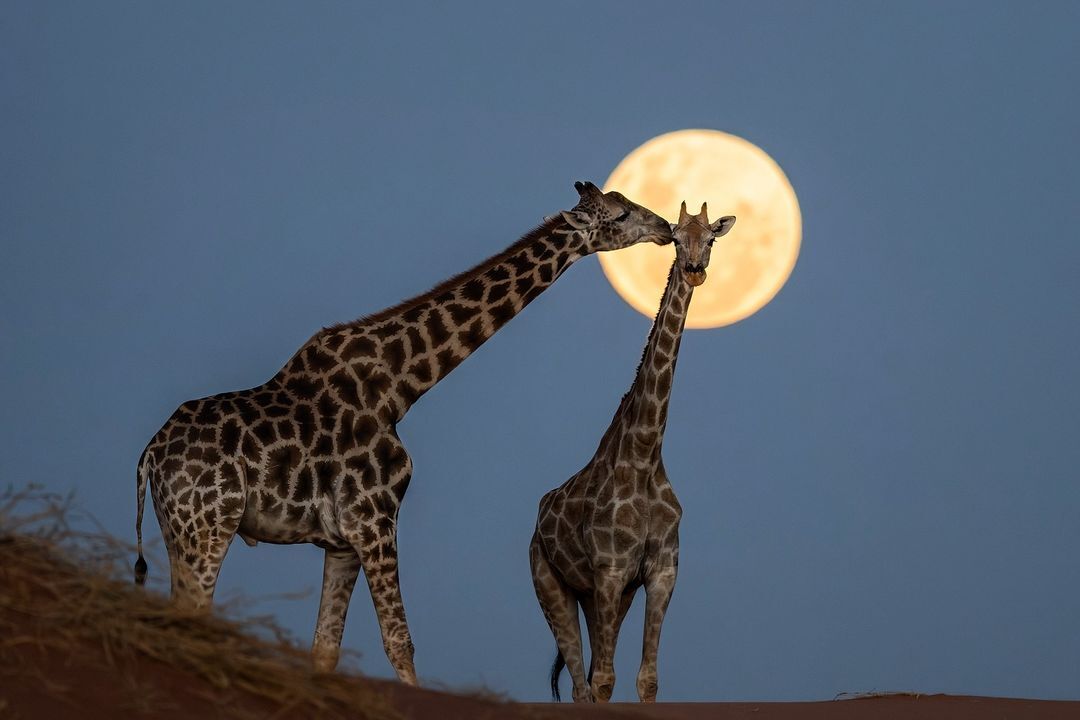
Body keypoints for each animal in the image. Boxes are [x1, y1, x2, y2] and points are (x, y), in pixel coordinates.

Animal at [132, 181, 673, 686]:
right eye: (621, 215)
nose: (665, 227)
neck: (400, 386)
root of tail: (149, 458)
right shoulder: (375, 519)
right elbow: (399, 641)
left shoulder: (342, 541)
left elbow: (325, 647)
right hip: (209, 524)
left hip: (177, 528)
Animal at [529, 202, 734, 703]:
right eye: (677, 238)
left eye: (711, 239)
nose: (694, 269)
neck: (643, 454)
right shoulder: (610, 569)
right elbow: (604, 681)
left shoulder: (661, 572)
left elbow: (647, 678)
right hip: (550, 582)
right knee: (581, 684)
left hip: (603, 597)